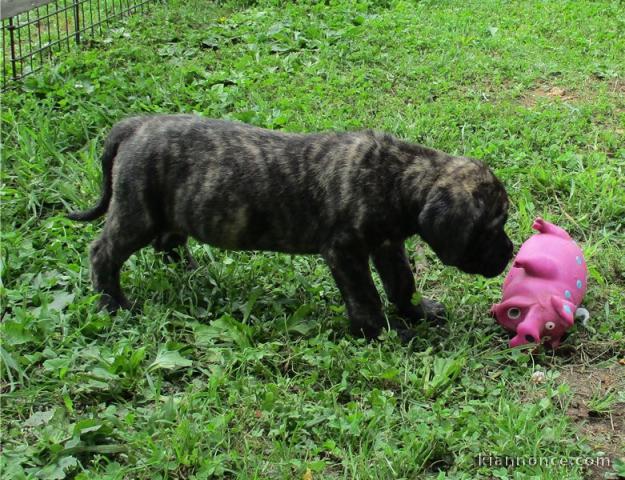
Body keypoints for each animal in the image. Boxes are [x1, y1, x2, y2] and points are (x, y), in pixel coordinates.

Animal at [69, 115, 512, 342]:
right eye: (491, 227)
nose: (509, 254)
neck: (400, 176)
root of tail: (135, 125)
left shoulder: (388, 245)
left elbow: (402, 282)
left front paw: (418, 312)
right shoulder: (345, 251)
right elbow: (366, 296)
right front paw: (382, 332)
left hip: (173, 210)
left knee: (169, 242)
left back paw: (192, 274)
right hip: (136, 212)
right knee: (103, 252)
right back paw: (112, 304)